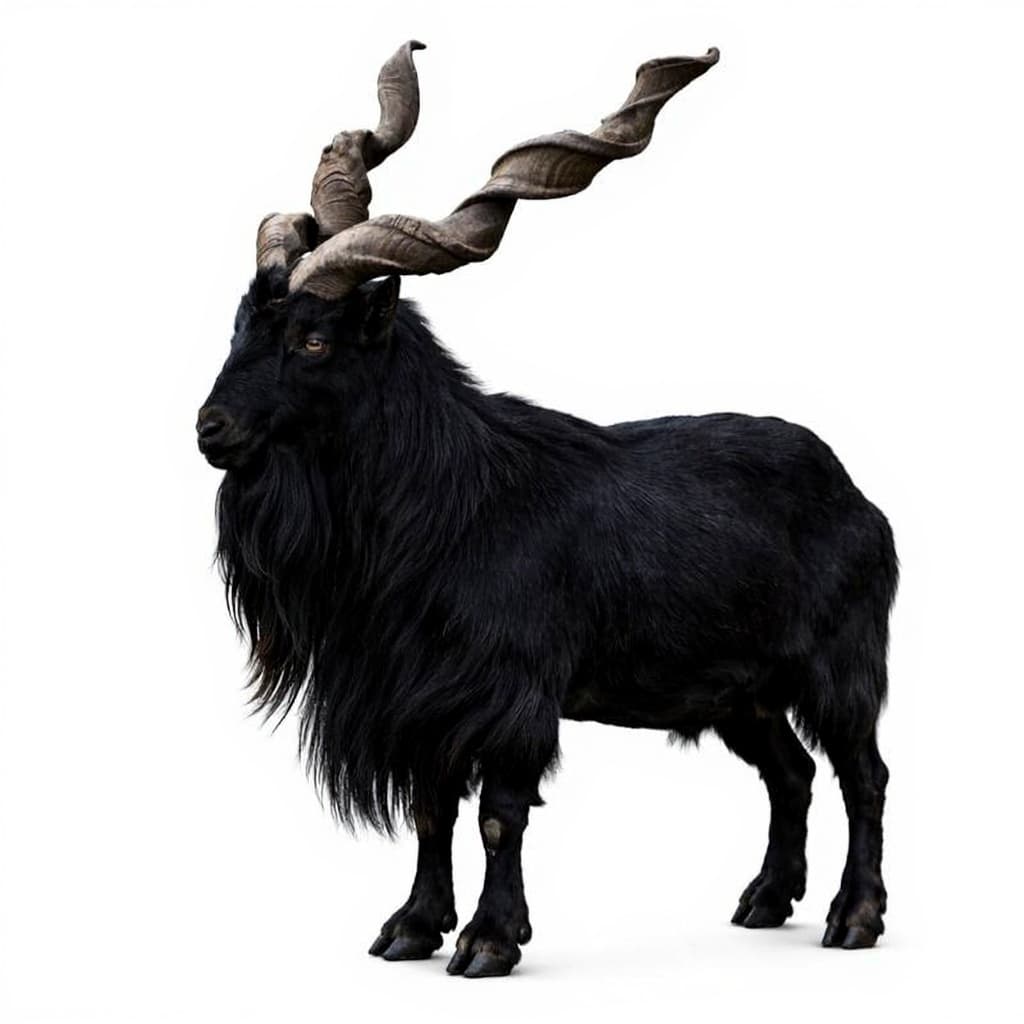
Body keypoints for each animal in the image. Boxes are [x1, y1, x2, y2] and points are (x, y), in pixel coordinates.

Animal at [197, 42, 897, 978]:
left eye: (313, 339)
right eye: (241, 327)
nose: (212, 429)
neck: (450, 501)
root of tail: (860, 500)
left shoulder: (512, 693)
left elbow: (499, 816)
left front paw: (489, 941)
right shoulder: (422, 702)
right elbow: (431, 814)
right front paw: (410, 929)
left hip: (840, 665)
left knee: (862, 774)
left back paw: (853, 918)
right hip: (740, 693)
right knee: (790, 773)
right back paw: (763, 901)